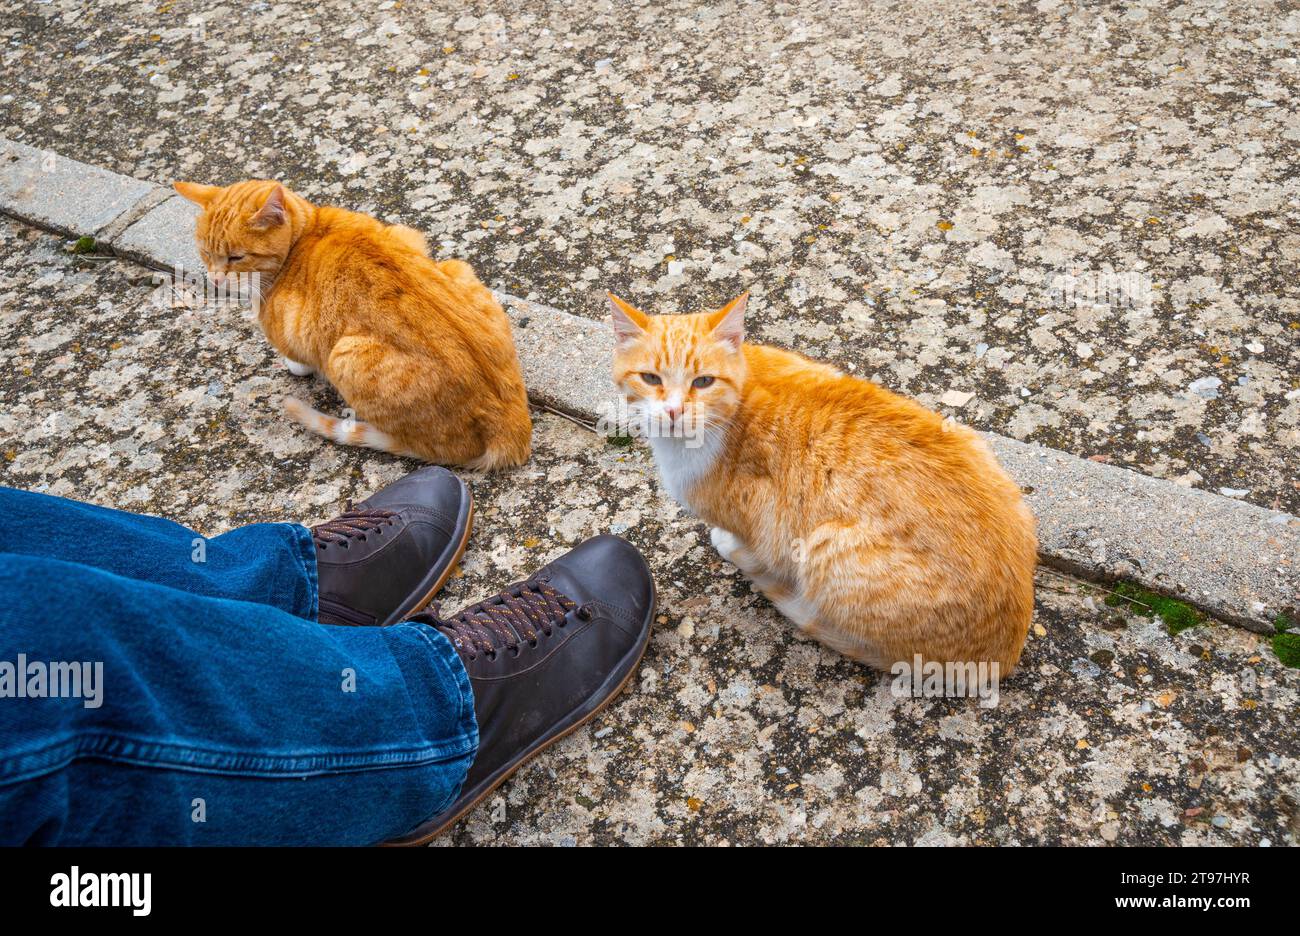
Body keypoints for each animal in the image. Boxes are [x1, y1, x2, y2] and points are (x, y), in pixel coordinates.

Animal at [175, 176, 530, 467]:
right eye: (205, 252)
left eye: (236, 257)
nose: (215, 279)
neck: (306, 233)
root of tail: (512, 425)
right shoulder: (403, 233)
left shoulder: (291, 331)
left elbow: (297, 359)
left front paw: (293, 366)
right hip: (458, 267)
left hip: (344, 356)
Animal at [605, 292, 1034, 670]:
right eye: (650, 378)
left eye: (703, 382)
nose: (674, 410)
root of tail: (1002, 656)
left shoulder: (764, 520)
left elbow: (751, 544)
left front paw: (729, 545)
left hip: (826, 549)